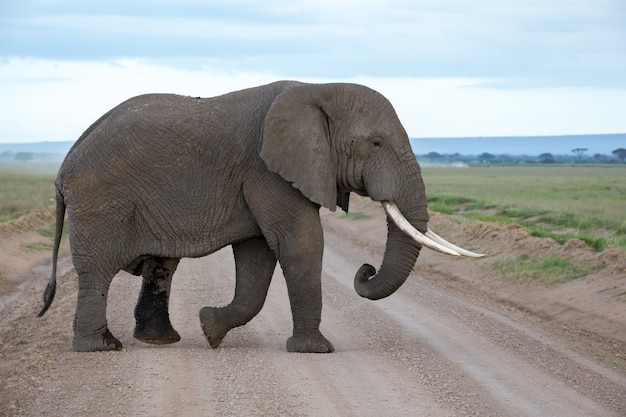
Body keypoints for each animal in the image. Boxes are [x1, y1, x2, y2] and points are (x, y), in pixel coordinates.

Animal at [36, 79, 480, 352]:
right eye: (375, 143)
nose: (365, 270)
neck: (318, 88)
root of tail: (64, 164)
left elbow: (258, 254)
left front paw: (210, 328)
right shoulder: (268, 170)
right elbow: (300, 244)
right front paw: (315, 351)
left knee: (161, 265)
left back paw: (160, 341)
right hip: (100, 201)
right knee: (98, 270)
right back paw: (101, 347)